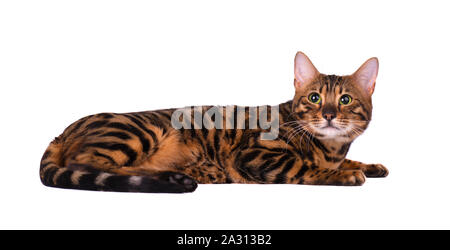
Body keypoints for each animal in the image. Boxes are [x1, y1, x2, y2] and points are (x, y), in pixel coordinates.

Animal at [40, 52, 388, 193]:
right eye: (315, 98)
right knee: (88, 164)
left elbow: (347, 161)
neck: (330, 148)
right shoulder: (257, 154)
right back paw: (175, 177)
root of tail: (61, 133)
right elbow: (306, 168)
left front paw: (370, 166)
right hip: (138, 131)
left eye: (345, 100)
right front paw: (344, 175)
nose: (328, 114)